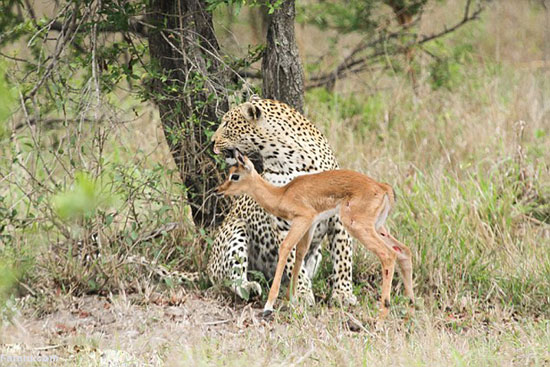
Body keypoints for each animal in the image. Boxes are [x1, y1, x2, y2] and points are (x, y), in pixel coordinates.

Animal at [208, 96, 358, 306]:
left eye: (227, 123)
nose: (212, 141)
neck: (286, 156)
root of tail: (207, 265)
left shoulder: (338, 216)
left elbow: (343, 258)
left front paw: (342, 294)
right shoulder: (283, 224)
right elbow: (293, 261)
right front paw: (302, 294)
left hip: (316, 256)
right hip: (236, 228)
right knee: (230, 276)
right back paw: (251, 287)